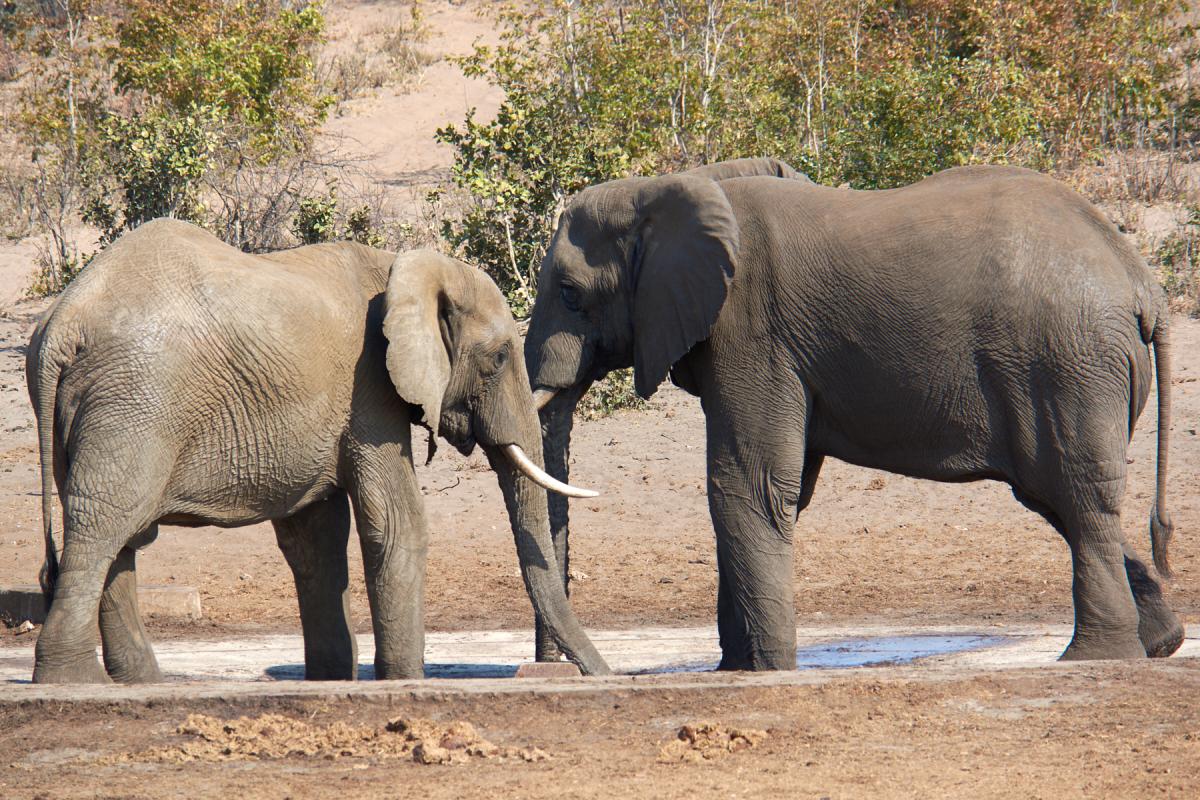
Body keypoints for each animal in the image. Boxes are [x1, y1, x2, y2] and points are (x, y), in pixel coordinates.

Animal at [25, 217, 609, 681]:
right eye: (500, 358)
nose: (603, 675)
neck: (402, 267)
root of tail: (62, 324)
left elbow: (315, 538)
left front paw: (332, 679)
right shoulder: (368, 387)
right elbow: (396, 523)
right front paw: (403, 681)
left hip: (94, 412)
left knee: (116, 538)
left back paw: (138, 682)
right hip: (134, 406)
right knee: (102, 528)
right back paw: (73, 682)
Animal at [525, 158, 1180, 671]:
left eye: (569, 293)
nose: (562, 669)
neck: (675, 185)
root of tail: (1142, 281)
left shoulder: (752, 330)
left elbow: (746, 485)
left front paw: (767, 670)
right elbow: (773, 490)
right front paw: (735, 669)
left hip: (1068, 362)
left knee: (1076, 492)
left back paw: (1093, 657)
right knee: (1056, 494)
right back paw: (1160, 643)